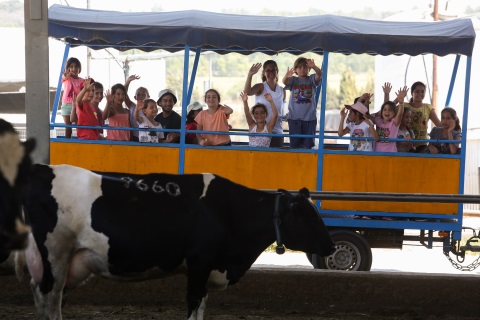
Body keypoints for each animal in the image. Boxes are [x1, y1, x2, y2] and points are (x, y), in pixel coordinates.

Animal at [20, 162, 334, 320]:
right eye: (308, 216)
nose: (331, 247)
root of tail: (43, 168)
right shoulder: (199, 262)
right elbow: (193, 304)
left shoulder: (207, 268)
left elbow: (201, 307)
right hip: (55, 256)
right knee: (51, 301)